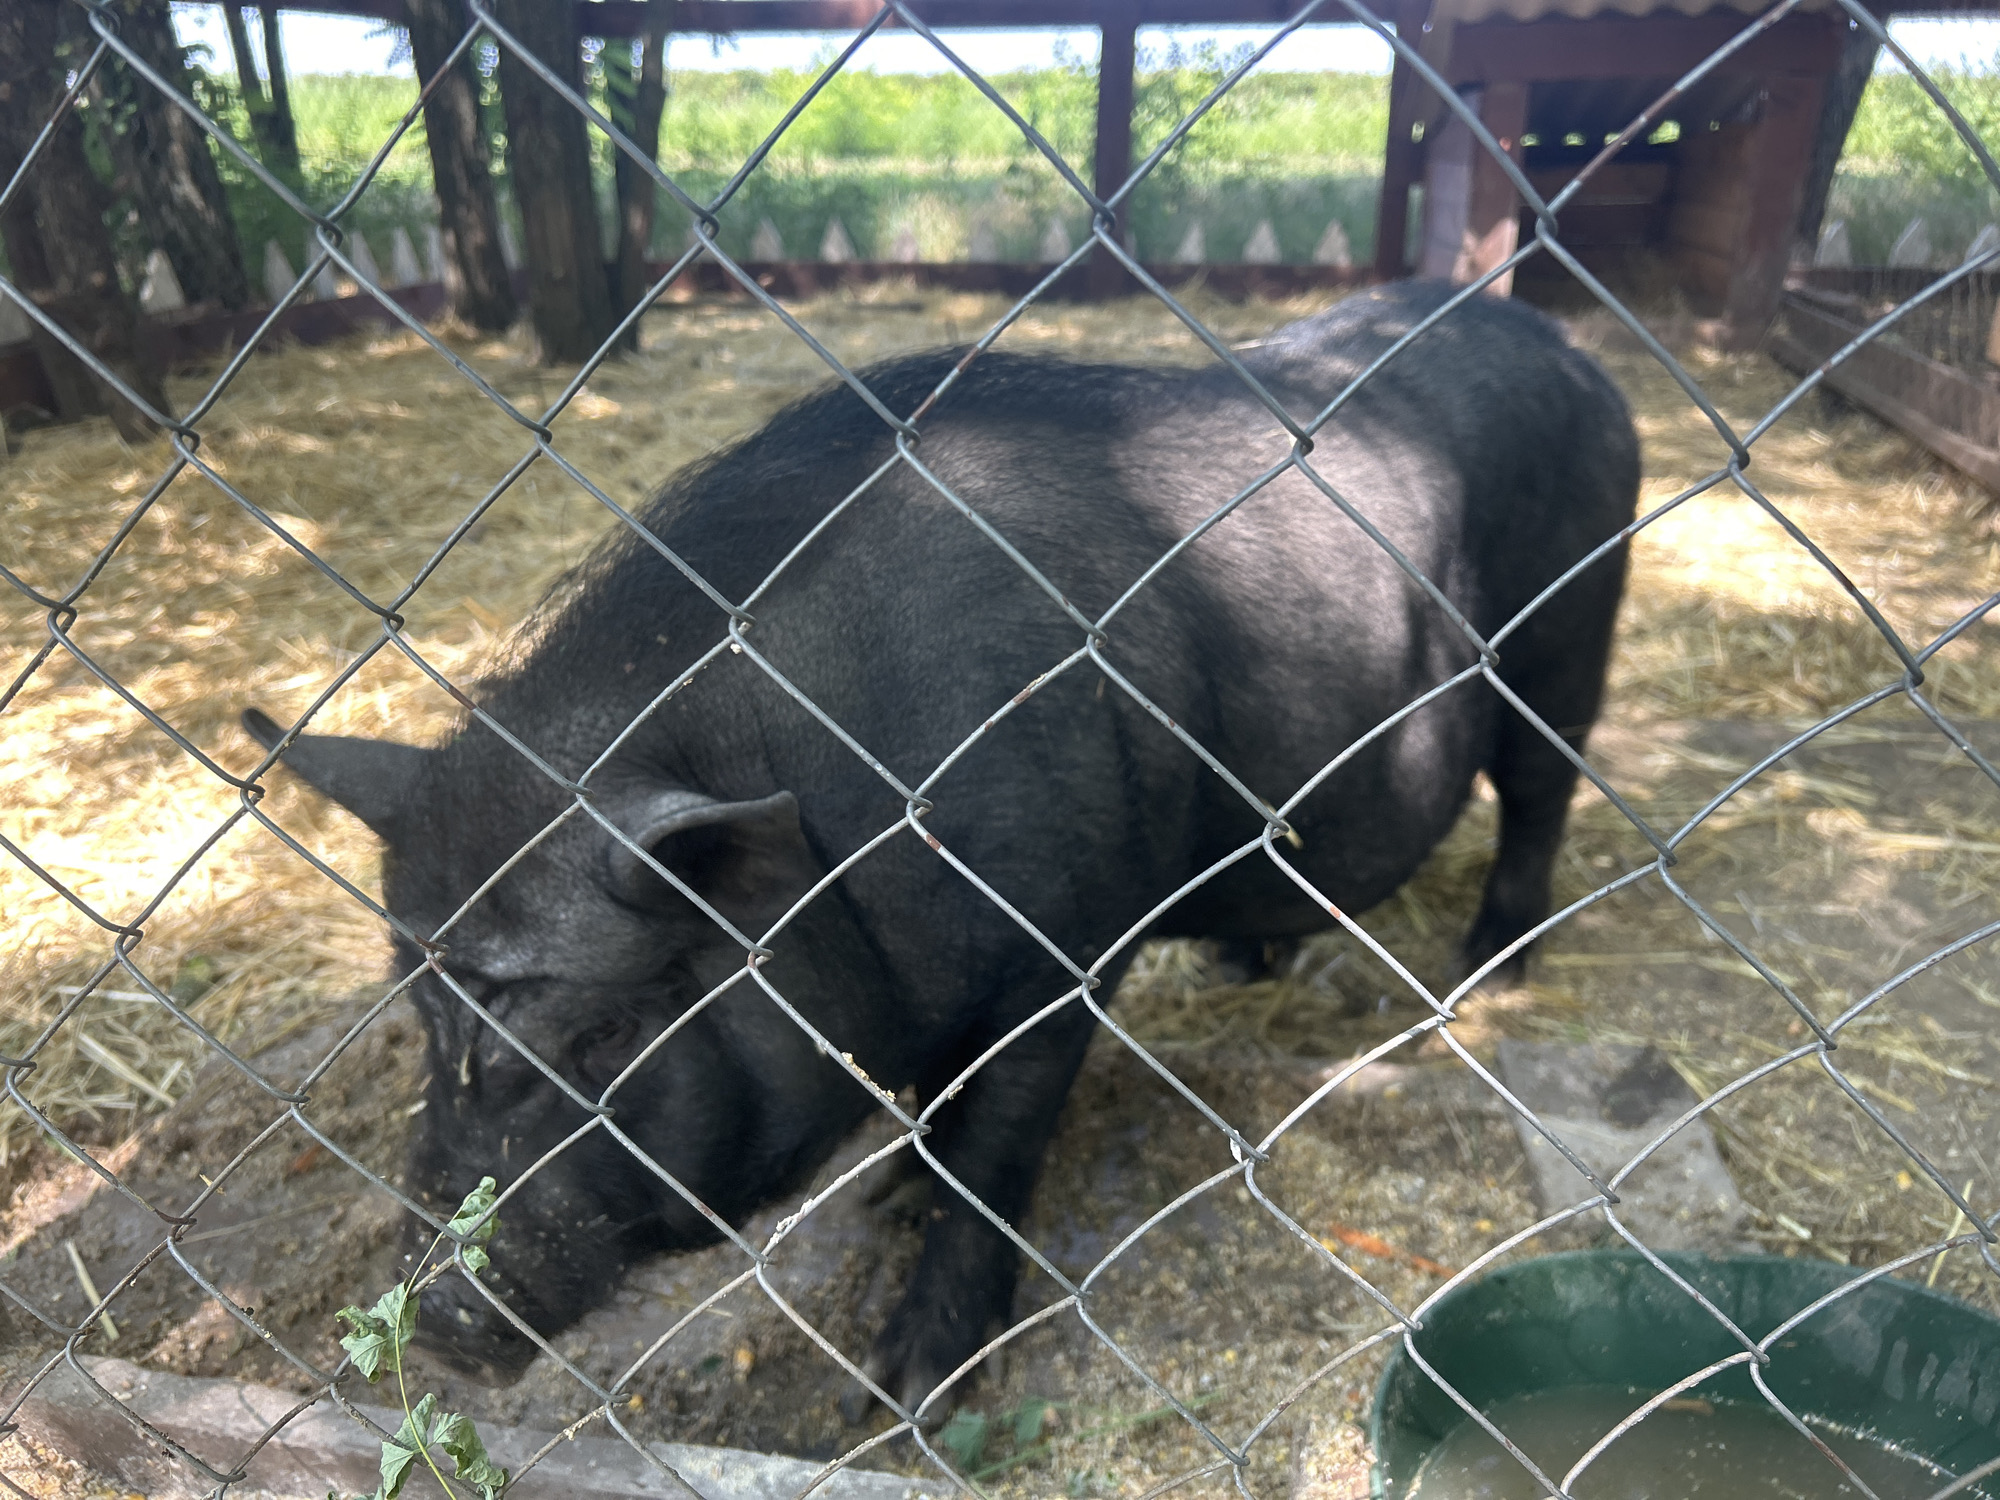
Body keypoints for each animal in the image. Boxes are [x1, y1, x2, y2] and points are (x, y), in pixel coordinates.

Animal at [242, 281, 1639, 1419]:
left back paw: (1490, 975)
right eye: (422, 1017)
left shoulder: (1062, 953)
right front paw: (886, 1198)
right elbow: (934, 1109)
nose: (433, 1324)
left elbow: (991, 1152)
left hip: (1568, 631)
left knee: (1540, 793)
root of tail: (1573, 354)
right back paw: (1245, 968)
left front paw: (903, 1394)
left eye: (603, 1032)